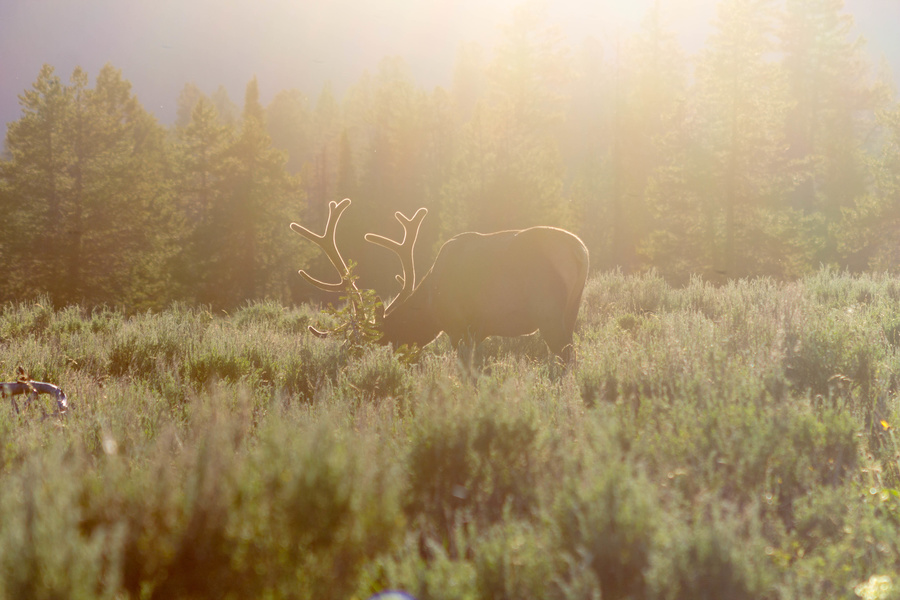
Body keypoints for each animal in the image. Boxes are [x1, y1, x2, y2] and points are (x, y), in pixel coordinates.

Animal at [290, 198, 589, 363]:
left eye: (370, 341)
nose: (349, 356)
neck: (430, 305)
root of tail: (580, 252)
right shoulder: (478, 331)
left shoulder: (458, 327)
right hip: (572, 310)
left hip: (548, 310)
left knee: (566, 356)